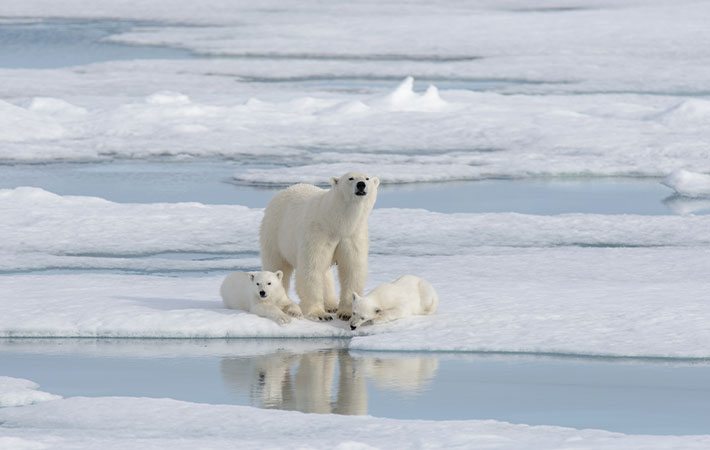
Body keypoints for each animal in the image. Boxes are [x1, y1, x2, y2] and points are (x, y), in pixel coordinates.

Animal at [260, 171, 382, 322]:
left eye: (367, 178)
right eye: (350, 178)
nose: (361, 185)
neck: (336, 223)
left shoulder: (352, 236)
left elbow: (352, 268)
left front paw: (346, 312)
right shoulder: (317, 233)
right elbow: (311, 268)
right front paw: (319, 314)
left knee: (326, 274)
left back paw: (331, 304)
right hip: (275, 232)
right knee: (277, 264)